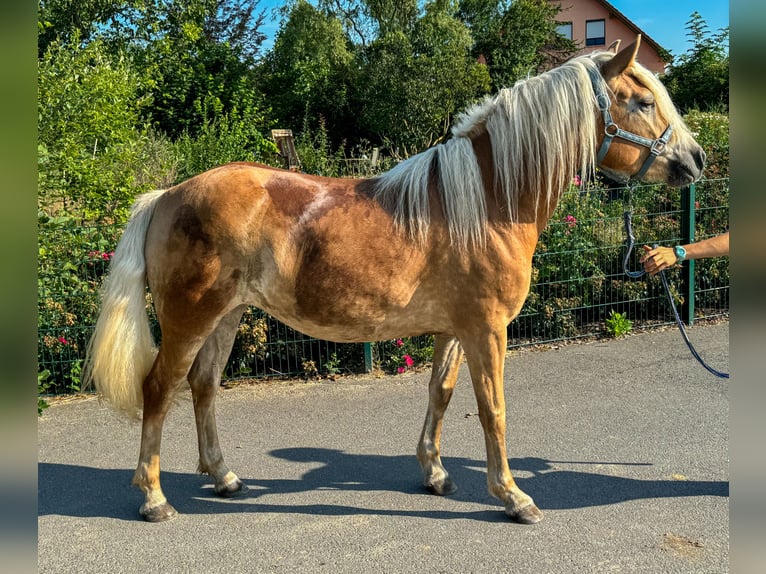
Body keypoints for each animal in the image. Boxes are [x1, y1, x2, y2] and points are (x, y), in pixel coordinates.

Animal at [85, 38, 708, 528]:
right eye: (643, 101)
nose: (697, 159)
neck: (487, 200)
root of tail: (167, 195)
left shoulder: (455, 329)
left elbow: (442, 393)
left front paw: (434, 473)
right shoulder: (488, 330)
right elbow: (493, 409)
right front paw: (513, 496)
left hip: (228, 314)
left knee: (204, 386)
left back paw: (225, 477)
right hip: (191, 316)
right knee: (159, 389)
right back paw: (154, 499)